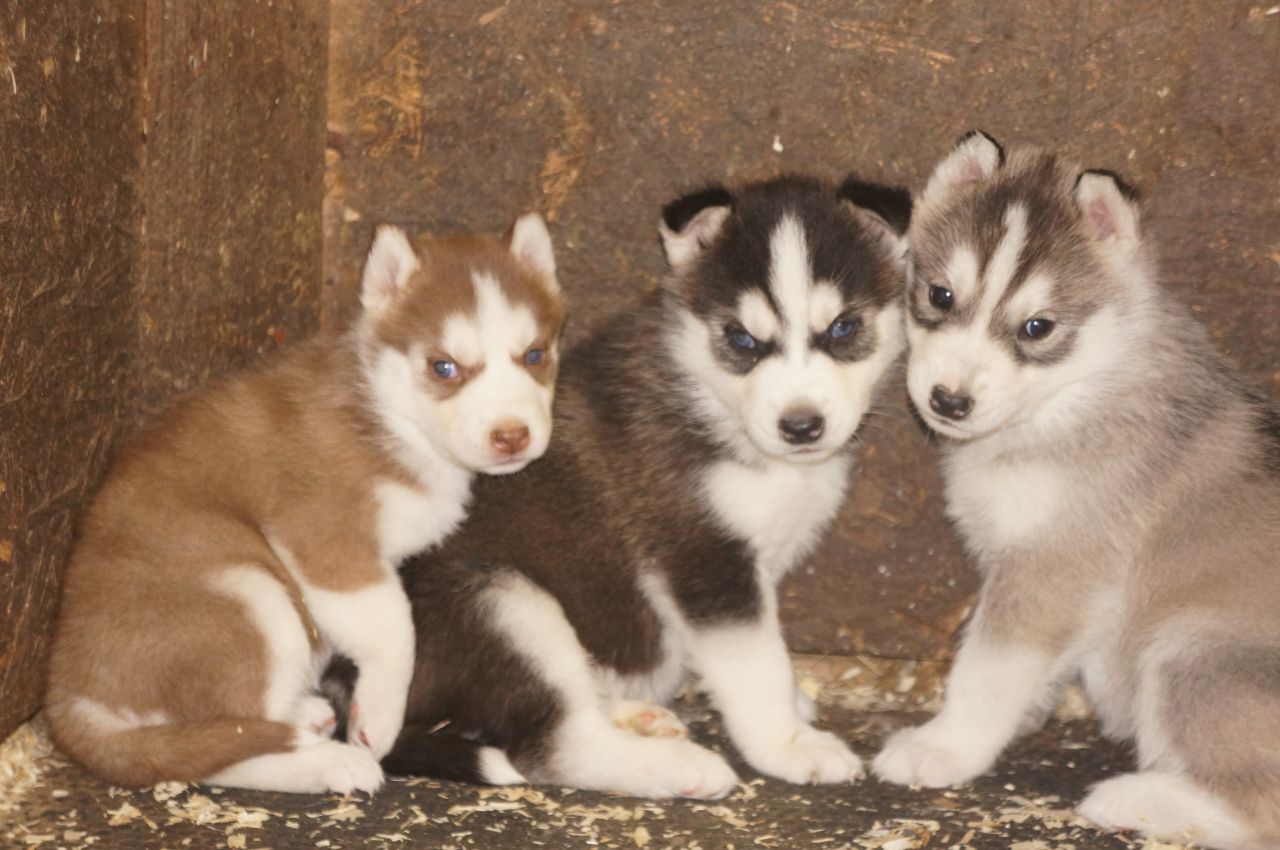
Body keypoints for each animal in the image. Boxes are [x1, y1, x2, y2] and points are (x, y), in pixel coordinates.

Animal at [47, 213, 563, 798]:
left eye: (535, 356)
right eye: (444, 367)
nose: (512, 435)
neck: (389, 417)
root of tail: (69, 693)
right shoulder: (323, 537)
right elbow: (395, 627)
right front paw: (378, 717)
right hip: (249, 590)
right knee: (226, 742)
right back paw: (333, 762)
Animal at [325, 172, 916, 798]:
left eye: (844, 328)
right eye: (741, 340)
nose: (801, 426)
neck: (712, 402)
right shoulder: (704, 558)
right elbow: (756, 665)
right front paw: (788, 743)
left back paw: (635, 714)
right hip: (501, 602)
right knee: (557, 743)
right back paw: (678, 766)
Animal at [875, 133, 1280, 850]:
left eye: (1038, 327)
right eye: (940, 295)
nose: (948, 401)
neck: (1075, 397)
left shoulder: (1052, 568)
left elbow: (985, 669)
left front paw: (945, 747)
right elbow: (1016, 668)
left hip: (1191, 653)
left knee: (1259, 812)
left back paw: (1135, 797)